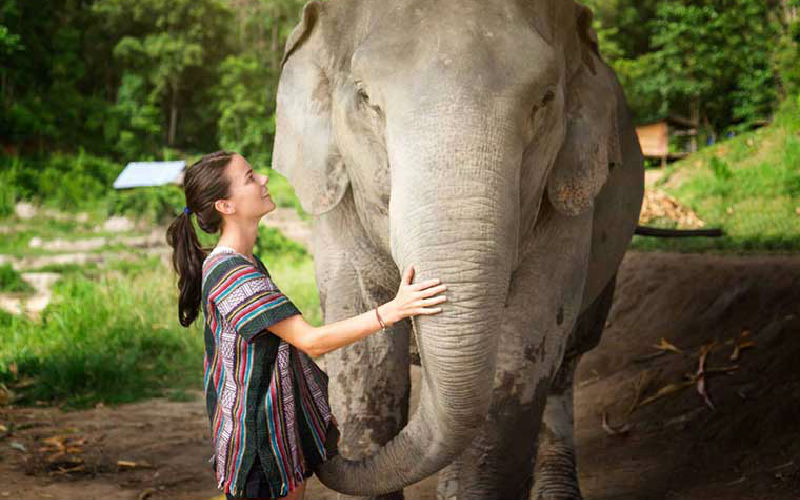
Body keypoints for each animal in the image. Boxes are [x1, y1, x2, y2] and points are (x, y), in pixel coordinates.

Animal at [272, 0, 644, 498]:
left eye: (545, 99)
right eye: (366, 98)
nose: (324, 441)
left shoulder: (567, 200)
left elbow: (522, 346)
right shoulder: (337, 199)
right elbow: (364, 350)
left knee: (568, 359)